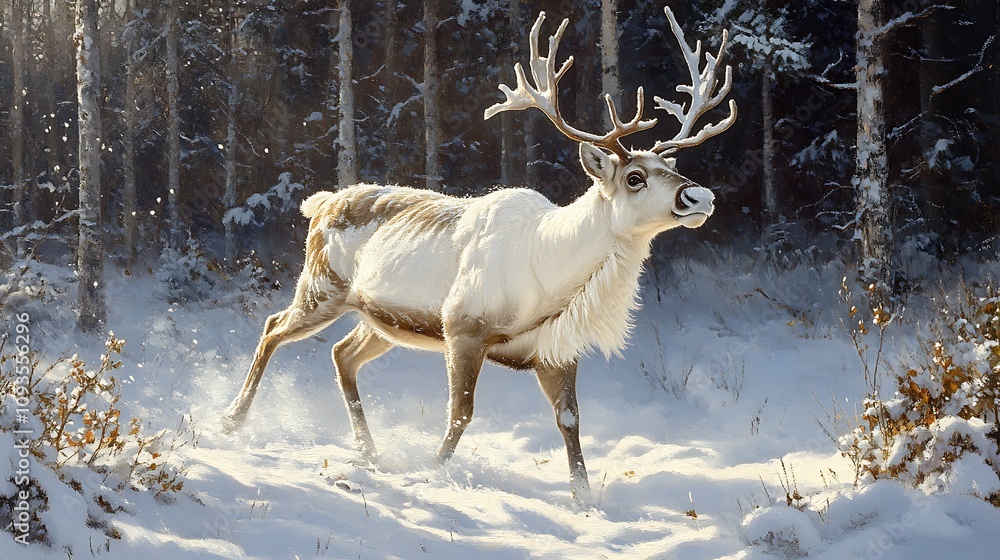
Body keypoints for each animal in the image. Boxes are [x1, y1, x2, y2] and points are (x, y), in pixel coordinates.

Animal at [223, 6, 736, 506]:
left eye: (670, 167)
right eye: (634, 177)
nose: (701, 196)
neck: (552, 280)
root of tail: (321, 202)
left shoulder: (556, 350)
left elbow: (570, 420)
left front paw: (584, 499)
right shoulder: (462, 326)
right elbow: (461, 413)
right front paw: (431, 473)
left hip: (379, 319)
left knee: (341, 353)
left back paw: (370, 452)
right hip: (322, 286)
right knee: (274, 327)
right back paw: (233, 420)